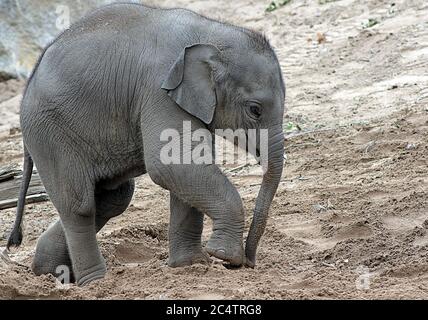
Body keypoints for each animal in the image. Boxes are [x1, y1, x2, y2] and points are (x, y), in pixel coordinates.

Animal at [6, 2, 284, 284]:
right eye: (255, 110)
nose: (248, 263)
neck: (212, 32)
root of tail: (28, 84)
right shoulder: (159, 91)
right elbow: (170, 165)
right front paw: (222, 255)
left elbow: (185, 168)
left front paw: (191, 265)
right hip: (50, 134)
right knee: (80, 207)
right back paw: (96, 281)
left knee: (111, 198)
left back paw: (48, 270)